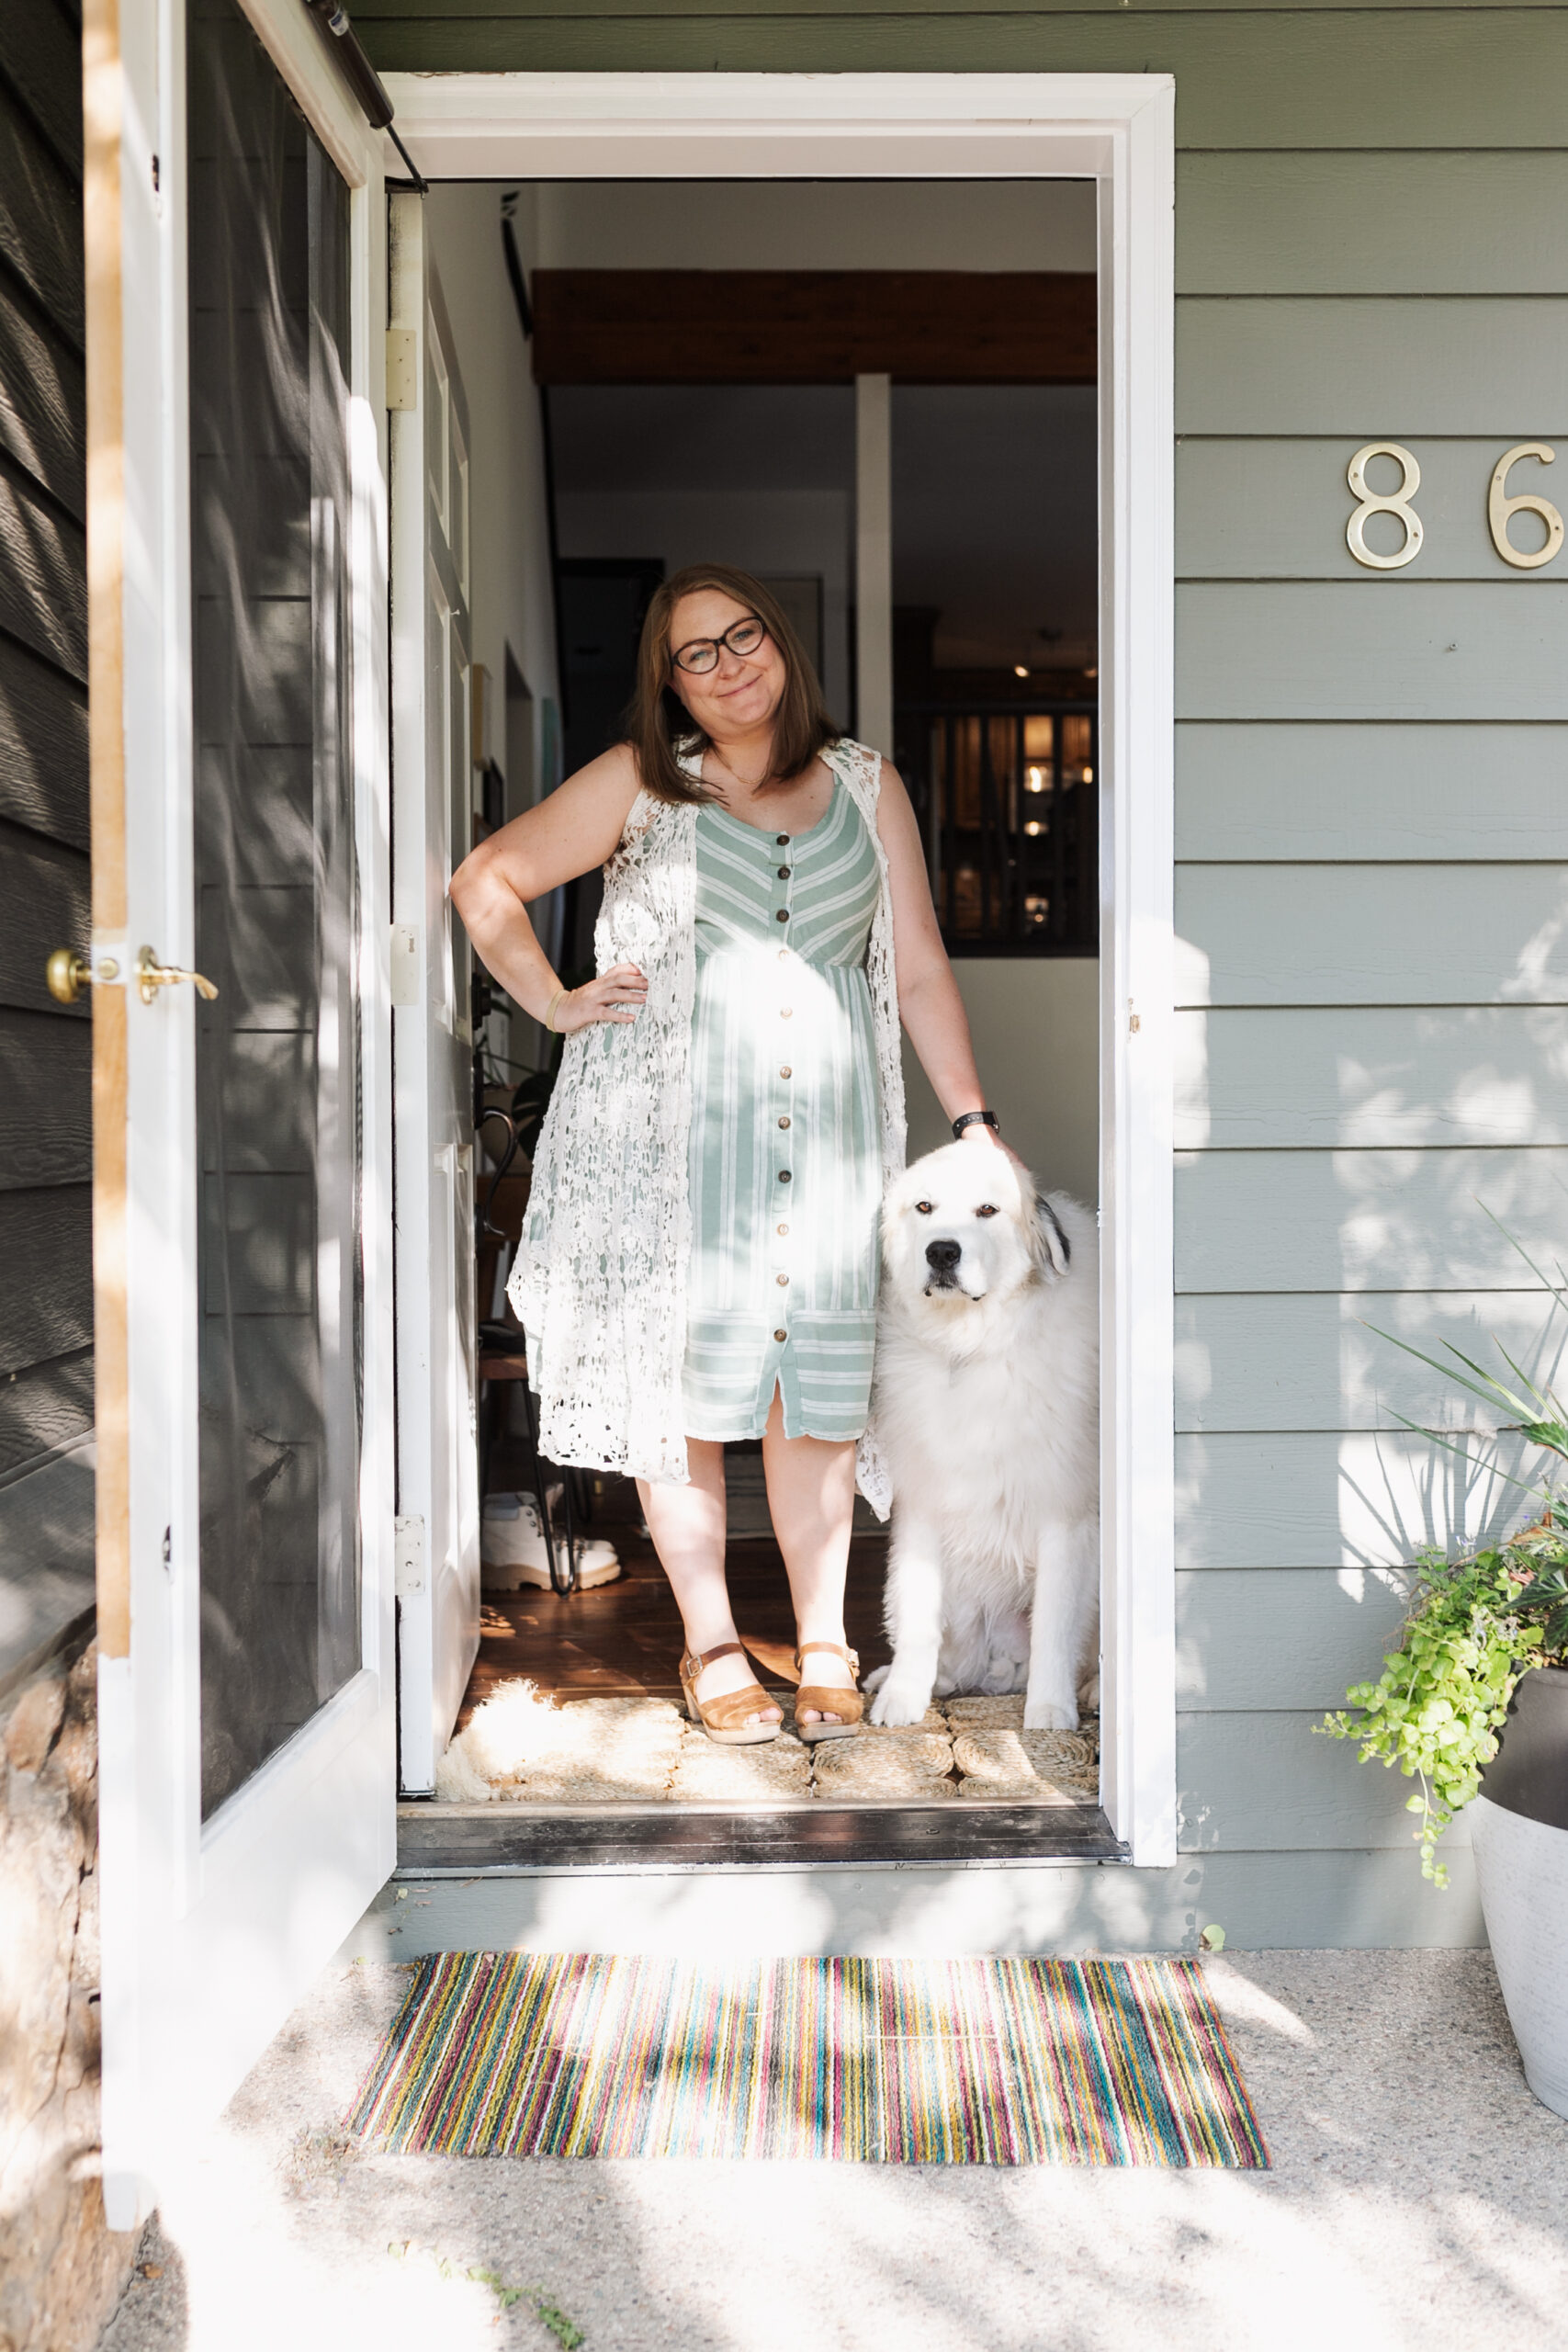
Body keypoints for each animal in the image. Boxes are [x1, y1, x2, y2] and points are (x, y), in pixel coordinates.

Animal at [864, 1138, 1100, 1731]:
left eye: (988, 1211)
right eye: (924, 1208)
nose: (943, 1253)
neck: (974, 1346)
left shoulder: (1062, 1509)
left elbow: (1055, 1624)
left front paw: (1049, 1711)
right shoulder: (923, 1504)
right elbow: (916, 1611)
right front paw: (902, 1698)